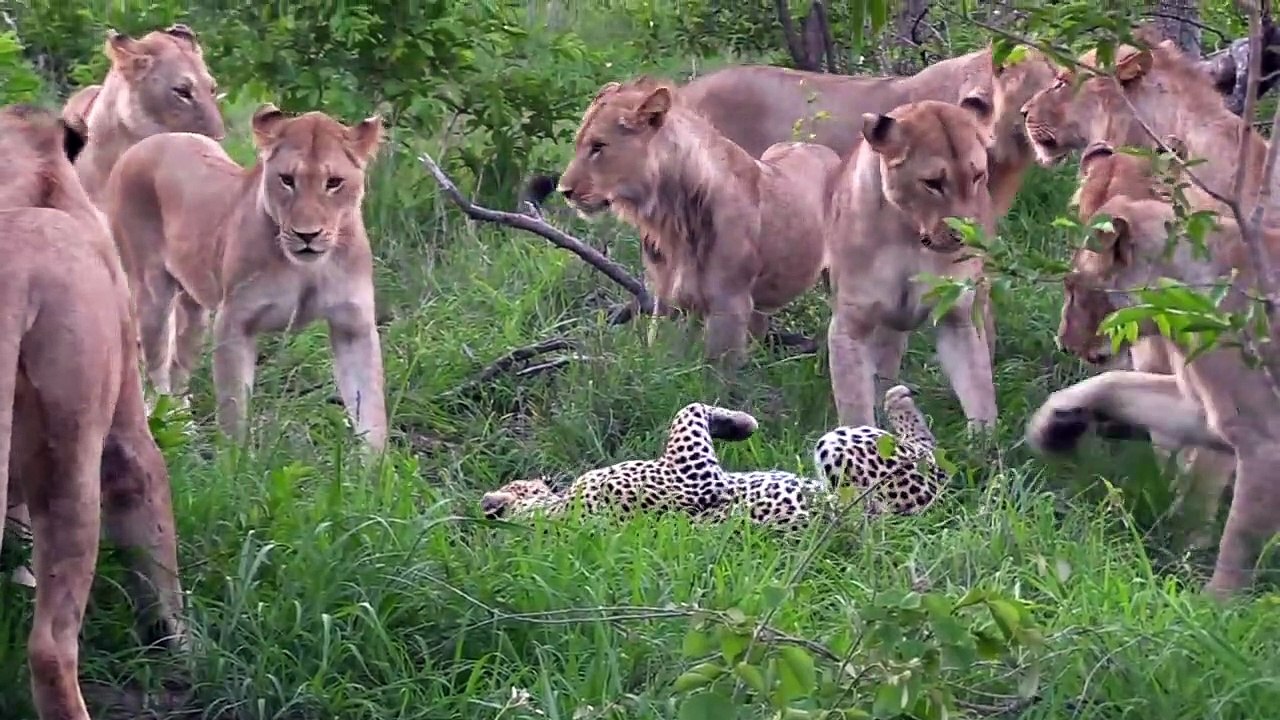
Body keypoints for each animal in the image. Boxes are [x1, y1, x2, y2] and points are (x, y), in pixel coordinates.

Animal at [103, 104, 389, 450]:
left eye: (334, 182)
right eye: (287, 180)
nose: (307, 235)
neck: (307, 268)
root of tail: (150, 141)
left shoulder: (353, 325)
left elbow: (371, 410)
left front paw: (376, 464)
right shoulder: (235, 322)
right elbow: (234, 409)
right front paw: (236, 460)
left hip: (195, 312)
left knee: (177, 366)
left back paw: (182, 429)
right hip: (151, 295)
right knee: (154, 371)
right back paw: (159, 429)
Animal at [480, 385, 946, 528]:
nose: (536, 478)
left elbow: (686, 410)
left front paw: (735, 422)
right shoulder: (694, 477)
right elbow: (686, 411)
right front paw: (742, 423)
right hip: (849, 448)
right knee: (931, 456)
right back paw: (900, 398)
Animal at [549, 76, 840, 367]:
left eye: (598, 146)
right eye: (578, 145)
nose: (563, 191)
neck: (670, 219)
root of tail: (821, 148)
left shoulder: (729, 305)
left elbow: (718, 374)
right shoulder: (667, 300)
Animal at [826, 97, 999, 430]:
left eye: (977, 176)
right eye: (932, 183)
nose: (965, 234)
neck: (907, 234)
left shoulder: (958, 315)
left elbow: (978, 386)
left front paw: (986, 441)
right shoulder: (852, 323)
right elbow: (854, 404)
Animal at [1026, 188, 1280, 598]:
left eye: (1074, 288)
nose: (1062, 342)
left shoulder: (1264, 438)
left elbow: (1239, 542)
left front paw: (1212, 605)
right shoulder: (1206, 410)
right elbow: (1116, 385)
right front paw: (1052, 426)